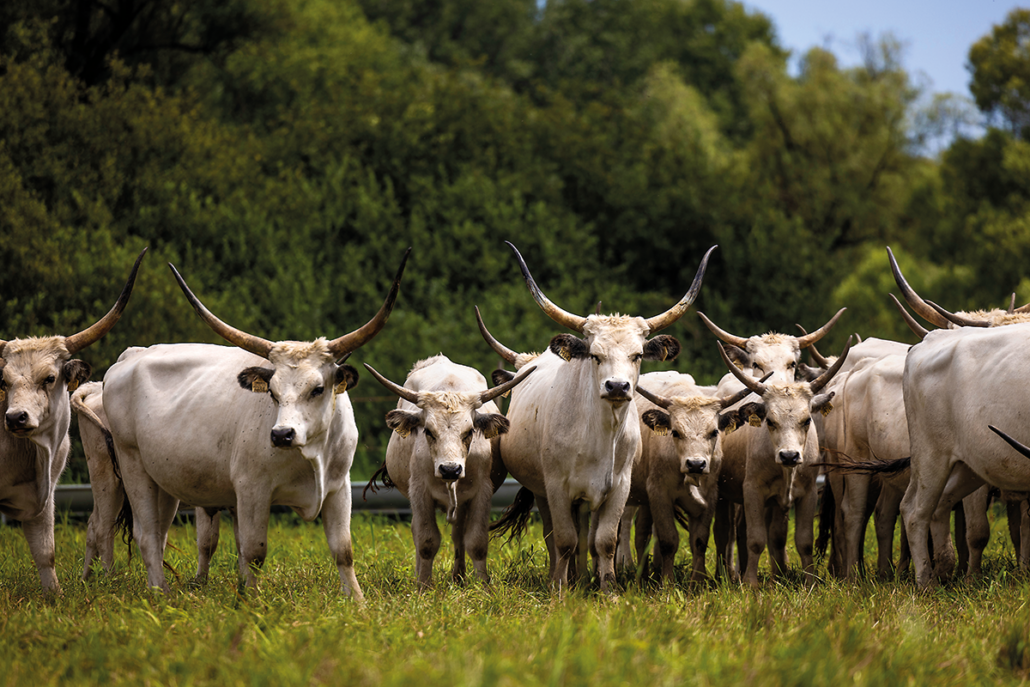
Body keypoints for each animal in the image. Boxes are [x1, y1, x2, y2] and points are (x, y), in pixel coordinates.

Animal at [0, 250, 145, 593]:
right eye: (3, 382)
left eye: (49, 378)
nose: (15, 417)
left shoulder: (46, 496)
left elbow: (46, 552)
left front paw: (54, 595)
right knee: (101, 526)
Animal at [103, 250, 405, 593]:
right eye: (272, 392)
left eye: (318, 389)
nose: (282, 434)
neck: (311, 453)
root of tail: (131, 355)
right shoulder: (252, 490)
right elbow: (254, 551)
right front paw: (249, 598)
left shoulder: (339, 487)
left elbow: (343, 550)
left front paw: (357, 600)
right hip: (132, 464)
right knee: (147, 535)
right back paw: (160, 593)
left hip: (163, 479)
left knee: (159, 531)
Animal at [362, 358, 535, 589]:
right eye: (428, 431)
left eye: (469, 431)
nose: (450, 469)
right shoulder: (420, 493)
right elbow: (427, 541)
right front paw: (423, 587)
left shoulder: (482, 493)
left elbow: (476, 542)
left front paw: (484, 586)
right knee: (418, 532)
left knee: (457, 535)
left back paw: (459, 577)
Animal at [484, 242, 712, 593]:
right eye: (595, 355)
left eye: (637, 355)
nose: (617, 386)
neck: (599, 435)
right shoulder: (557, 488)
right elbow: (564, 540)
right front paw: (560, 590)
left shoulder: (618, 488)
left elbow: (604, 541)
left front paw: (609, 590)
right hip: (542, 491)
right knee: (556, 537)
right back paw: (564, 579)